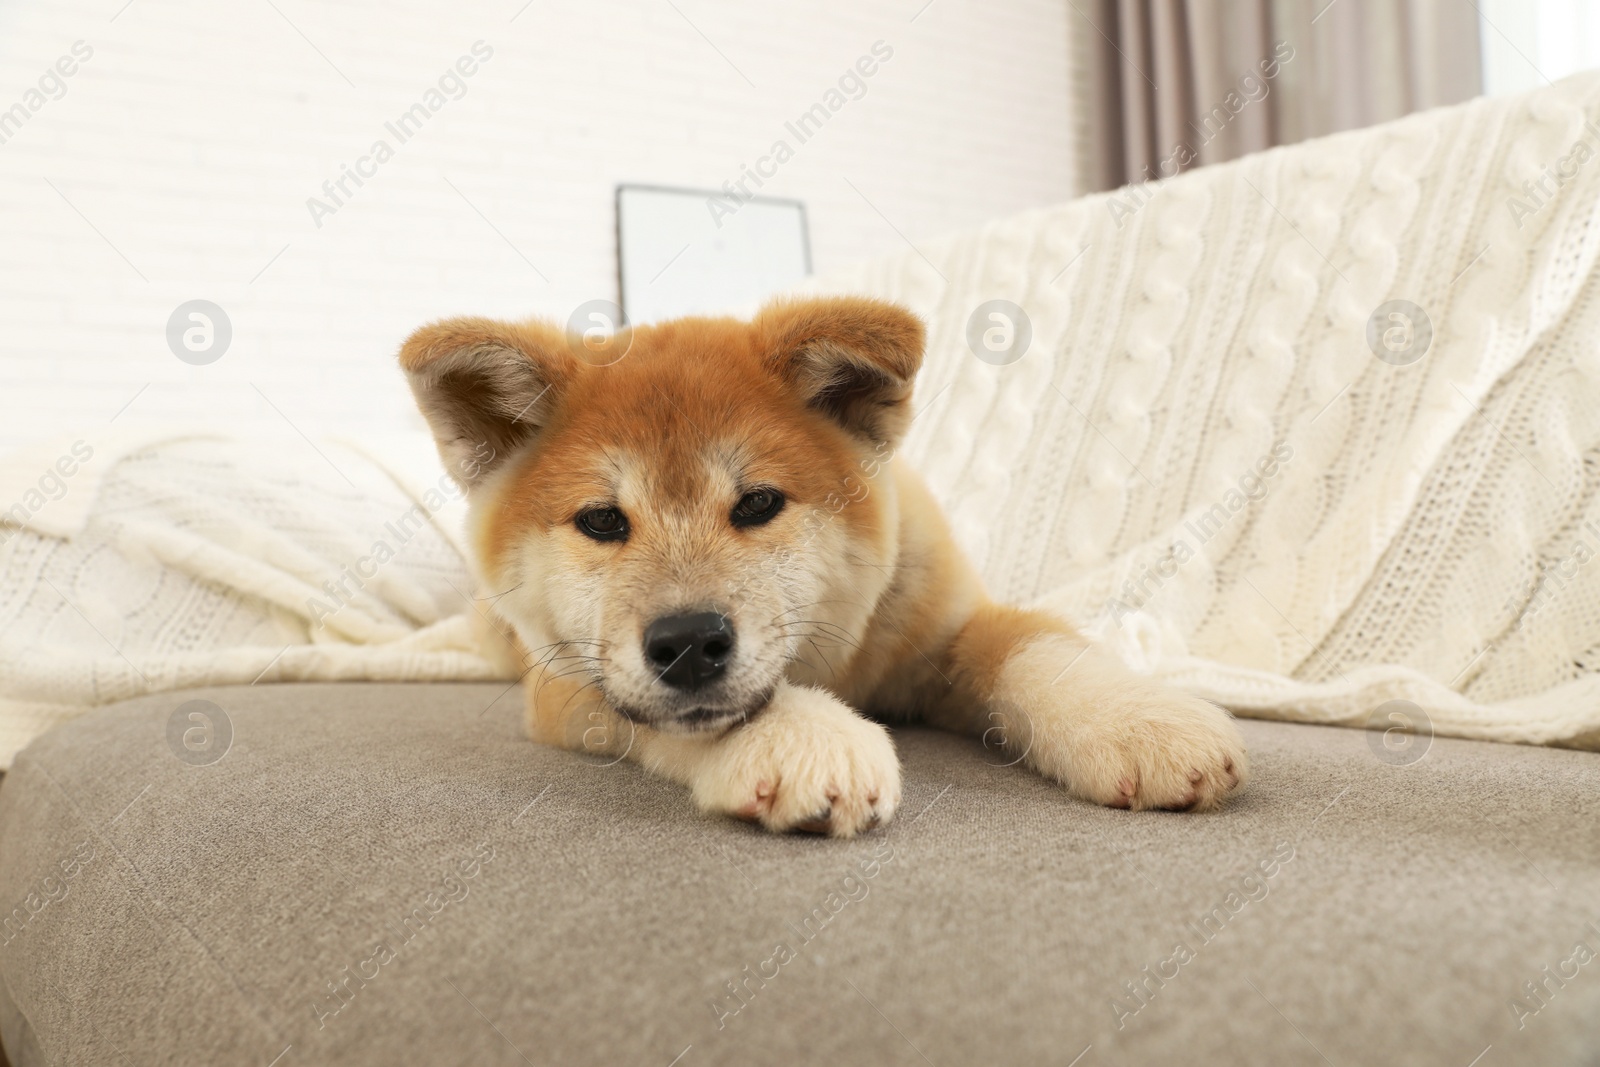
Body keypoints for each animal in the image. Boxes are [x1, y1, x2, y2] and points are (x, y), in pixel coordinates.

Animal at [403, 295, 1248, 838]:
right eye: (603, 521)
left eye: (757, 503)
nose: (688, 642)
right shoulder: (567, 684)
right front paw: (801, 736)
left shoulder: (951, 623)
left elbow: (1039, 650)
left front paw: (1138, 717)